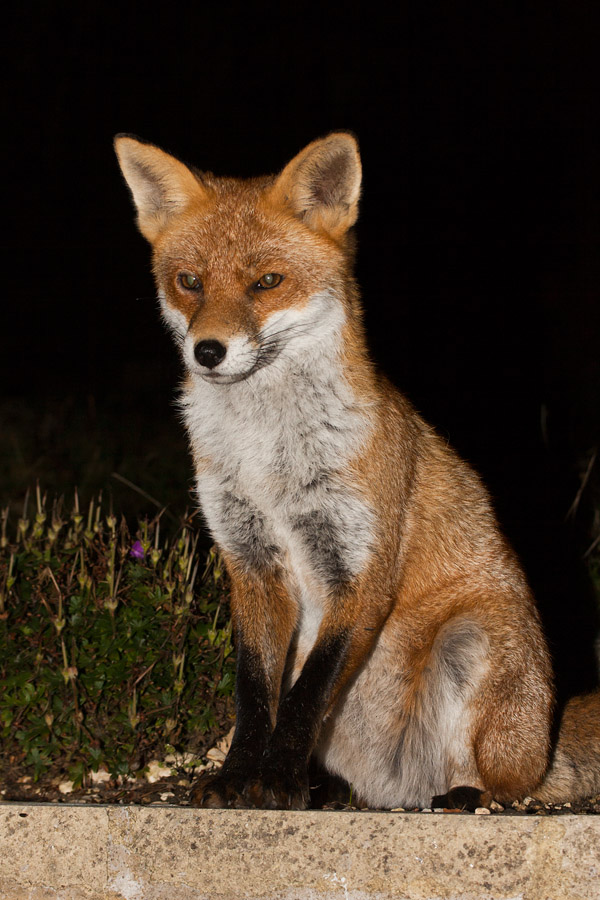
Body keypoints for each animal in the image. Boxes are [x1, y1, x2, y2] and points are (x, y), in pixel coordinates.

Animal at [114, 132, 600, 810]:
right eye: (189, 282)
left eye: (267, 282)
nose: (206, 351)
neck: (267, 461)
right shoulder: (252, 564)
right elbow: (255, 695)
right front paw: (240, 777)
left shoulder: (360, 566)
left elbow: (306, 695)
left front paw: (277, 783)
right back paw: (340, 792)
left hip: (473, 641)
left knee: (513, 783)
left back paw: (468, 794)